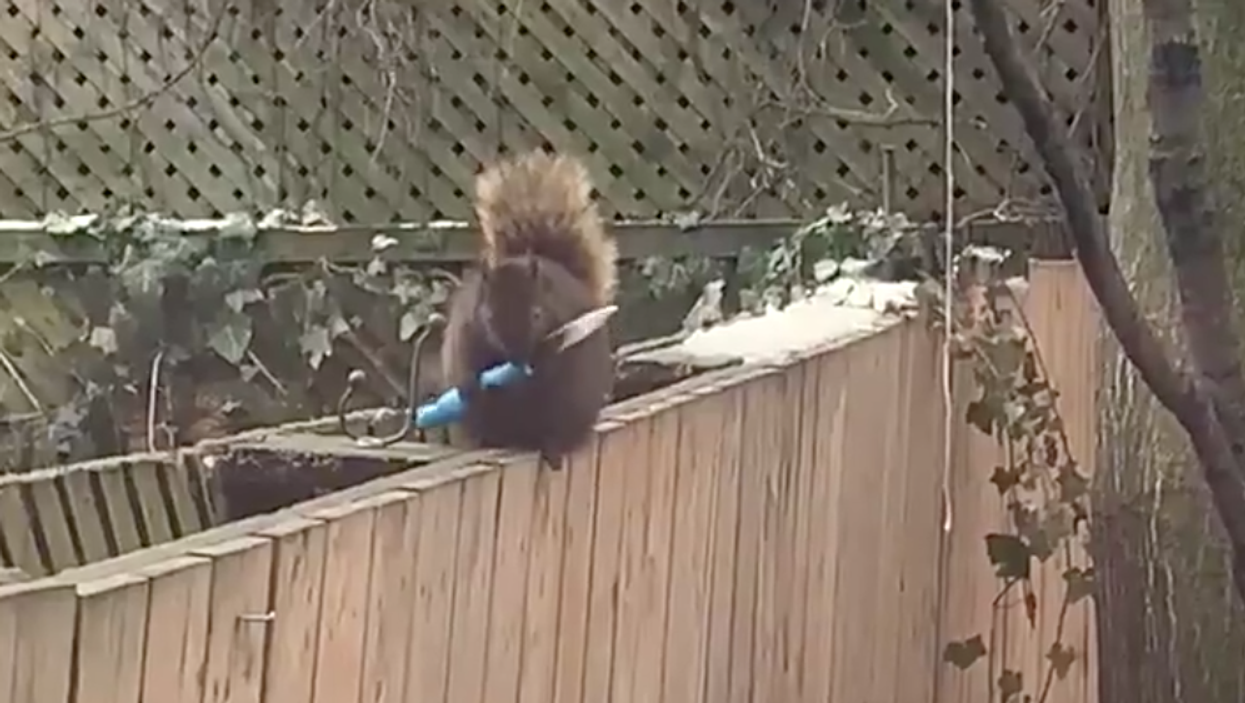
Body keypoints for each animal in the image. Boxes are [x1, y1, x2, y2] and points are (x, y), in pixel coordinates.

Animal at [440, 151, 618, 470]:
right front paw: (473, 384)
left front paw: (541, 365)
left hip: (569, 407)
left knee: (558, 431)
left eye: (537, 313)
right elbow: (467, 363)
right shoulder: (467, 332)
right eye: (489, 317)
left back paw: (553, 450)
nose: (519, 357)